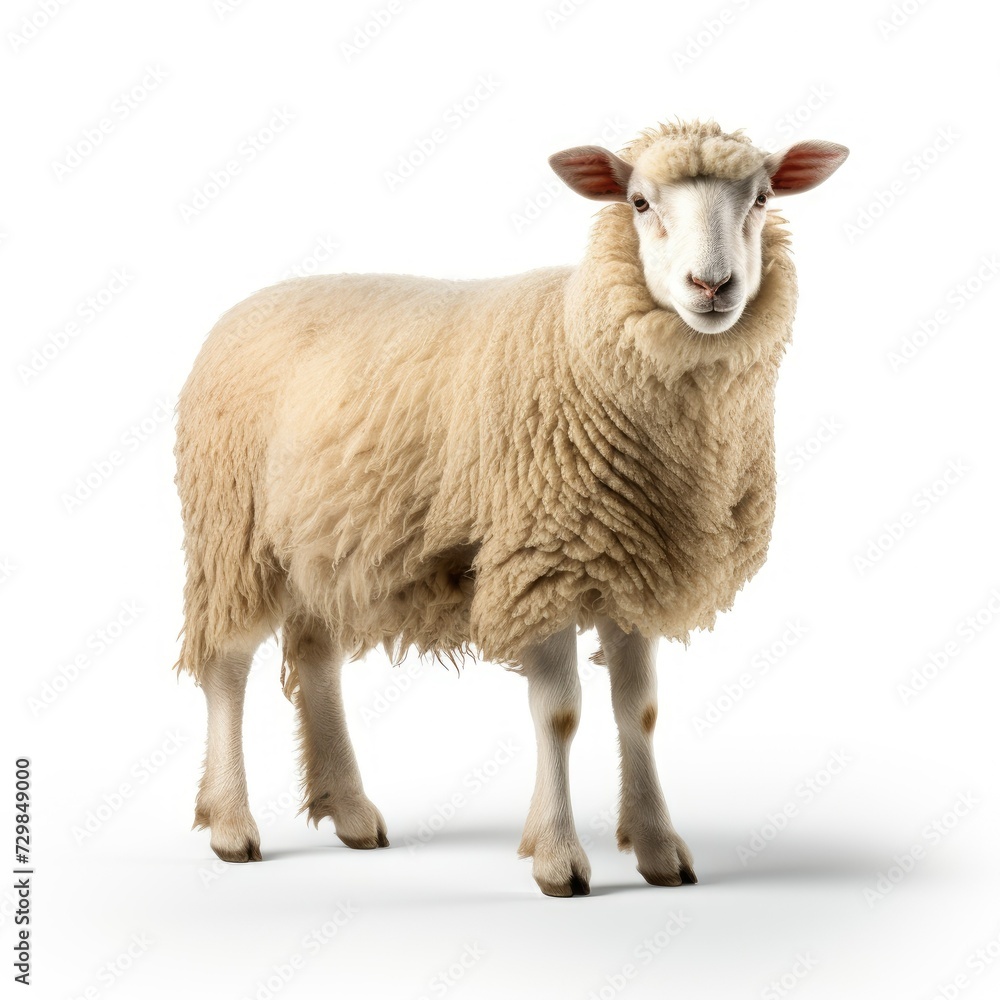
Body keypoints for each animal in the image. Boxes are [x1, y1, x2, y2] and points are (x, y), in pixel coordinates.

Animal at [174, 119, 848, 896]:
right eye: (639, 202)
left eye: (762, 198)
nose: (712, 285)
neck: (580, 340)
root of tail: (247, 304)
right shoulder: (541, 563)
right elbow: (559, 715)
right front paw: (559, 859)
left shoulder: (631, 565)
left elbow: (640, 711)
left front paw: (657, 848)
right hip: (234, 530)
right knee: (227, 665)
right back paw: (231, 824)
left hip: (326, 540)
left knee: (315, 657)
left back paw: (350, 811)